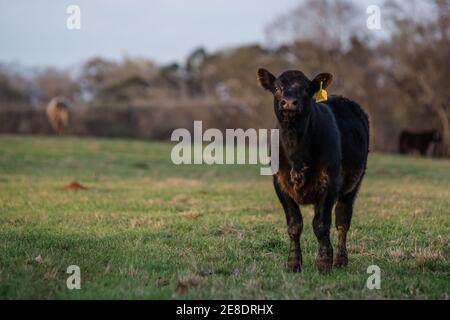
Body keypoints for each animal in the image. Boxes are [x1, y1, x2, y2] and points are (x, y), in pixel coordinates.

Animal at [256, 69, 370, 274]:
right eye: (277, 88)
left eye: (307, 89)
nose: (289, 102)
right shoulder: (280, 184)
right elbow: (294, 224)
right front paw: (293, 263)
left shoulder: (329, 183)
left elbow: (321, 224)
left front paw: (324, 263)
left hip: (353, 185)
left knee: (342, 220)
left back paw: (341, 260)